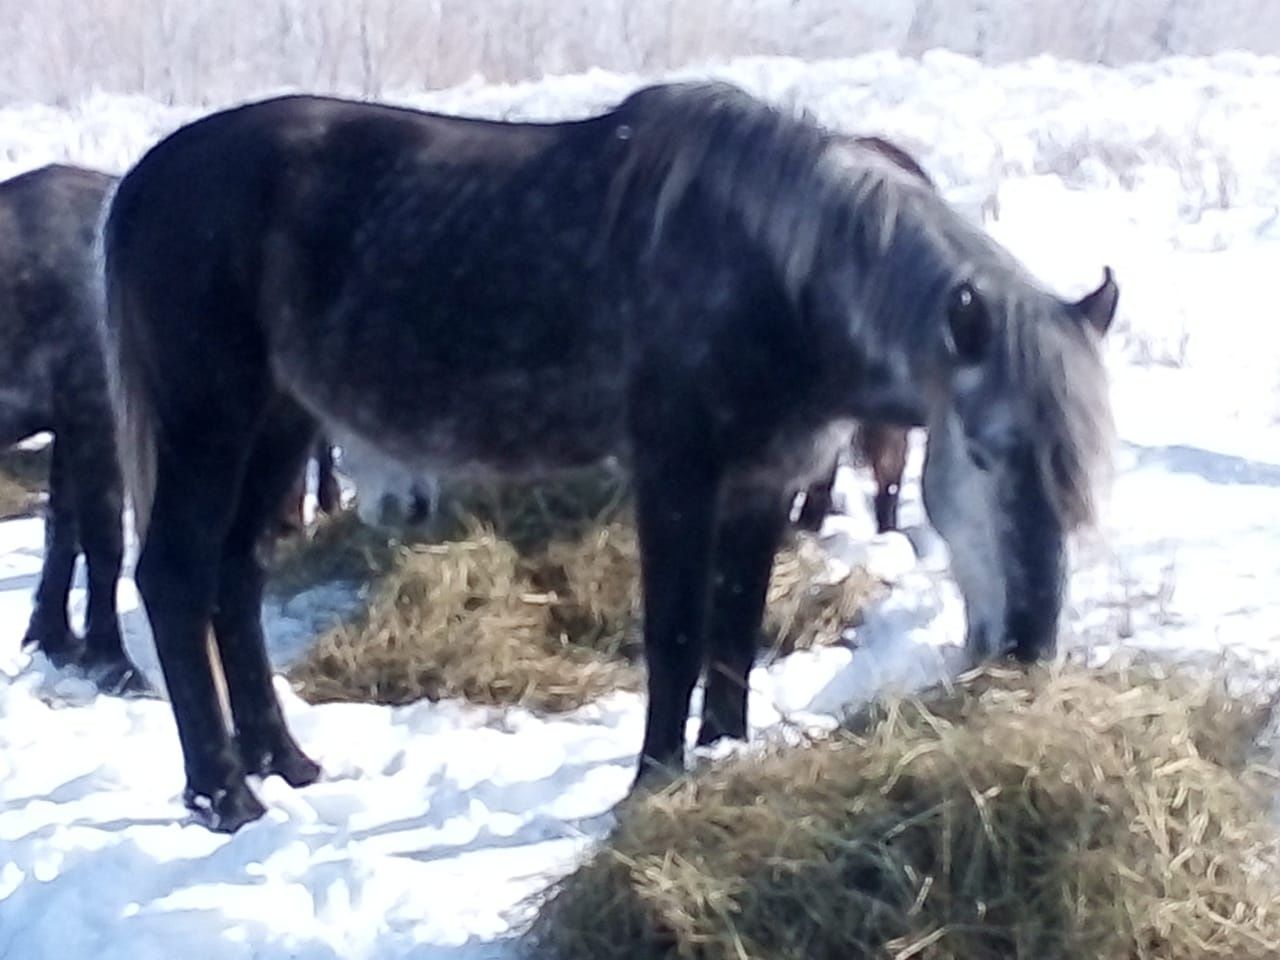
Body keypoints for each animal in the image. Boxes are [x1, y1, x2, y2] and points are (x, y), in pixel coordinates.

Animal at [0, 163, 149, 691]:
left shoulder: (68, 425)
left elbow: (60, 532)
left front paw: (52, 638)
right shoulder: (96, 416)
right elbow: (102, 540)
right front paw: (113, 663)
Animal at [102, 84, 1121, 834]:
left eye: (1077, 477)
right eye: (982, 455)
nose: (1027, 647)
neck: (773, 274)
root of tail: (143, 181)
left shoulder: (763, 480)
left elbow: (735, 631)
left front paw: (723, 756)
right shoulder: (676, 474)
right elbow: (674, 635)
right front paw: (652, 782)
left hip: (278, 423)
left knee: (235, 577)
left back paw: (287, 764)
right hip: (209, 422)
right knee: (175, 579)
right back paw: (225, 796)